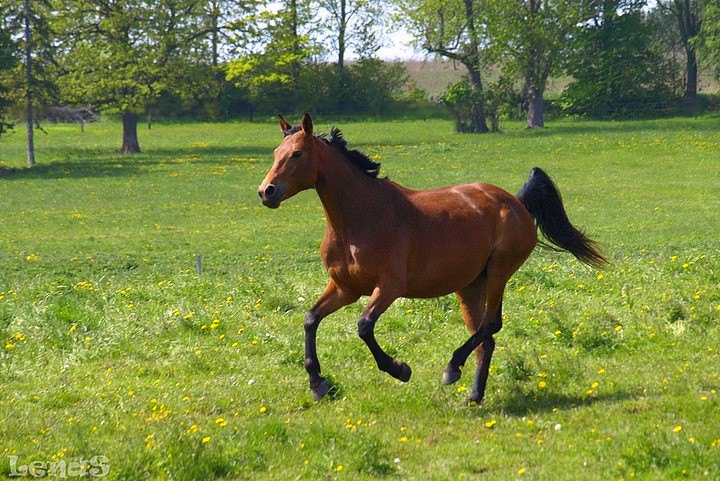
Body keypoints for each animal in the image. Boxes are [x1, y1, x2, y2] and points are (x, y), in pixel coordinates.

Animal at [256, 114, 604, 404]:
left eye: (297, 154)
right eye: (275, 152)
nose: (266, 192)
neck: (358, 219)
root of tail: (516, 202)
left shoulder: (389, 287)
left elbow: (364, 326)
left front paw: (400, 369)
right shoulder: (345, 288)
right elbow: (310, 319)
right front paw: (318, 384)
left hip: (498, 272)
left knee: (492, 324)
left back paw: (452, 368)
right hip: (470, 286)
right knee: (486, 338)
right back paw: (474, 394)